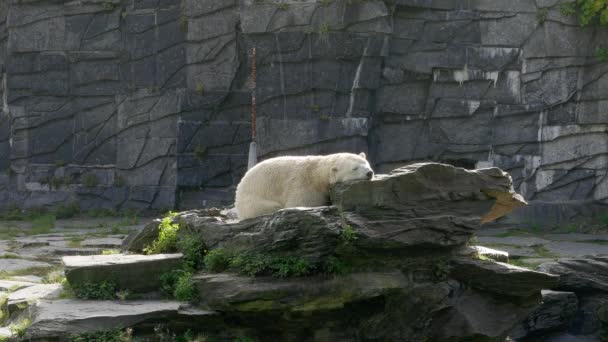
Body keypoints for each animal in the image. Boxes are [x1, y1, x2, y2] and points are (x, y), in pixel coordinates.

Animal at [235, 152, 372, 219]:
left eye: (367, 163)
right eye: (355, 168)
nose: (369, 173)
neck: (317, 174)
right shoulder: (302, 185)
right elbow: (299, 203)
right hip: (254, 201)